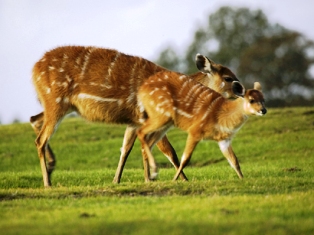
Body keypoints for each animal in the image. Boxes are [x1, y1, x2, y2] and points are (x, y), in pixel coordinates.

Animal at [30, 45, 240, 186]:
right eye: (228, 78)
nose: (242, 89)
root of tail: (34, 69)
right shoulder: (151, 116)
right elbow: (169, 151)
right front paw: (176, 179)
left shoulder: (135, 121)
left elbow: (126, 148)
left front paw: (119, 180)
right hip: (56, 102)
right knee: (41, 139)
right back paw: (47, 182)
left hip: (60, 106)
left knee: (35, 120)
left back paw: (51, 166)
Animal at [137, 70, 268, 180]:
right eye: (251, 100)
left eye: (263, 99)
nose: (263, 110)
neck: (221, 117)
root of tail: (141, 90)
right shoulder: (194, 131)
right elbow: (185, 159)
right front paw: (175, 180)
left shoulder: (224, 140)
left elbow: (234, 161)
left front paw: (242, 179)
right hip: (161, 117)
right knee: (141, 132)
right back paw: (153, 174)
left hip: (164, 124)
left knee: (148, 142)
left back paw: (149, 177)